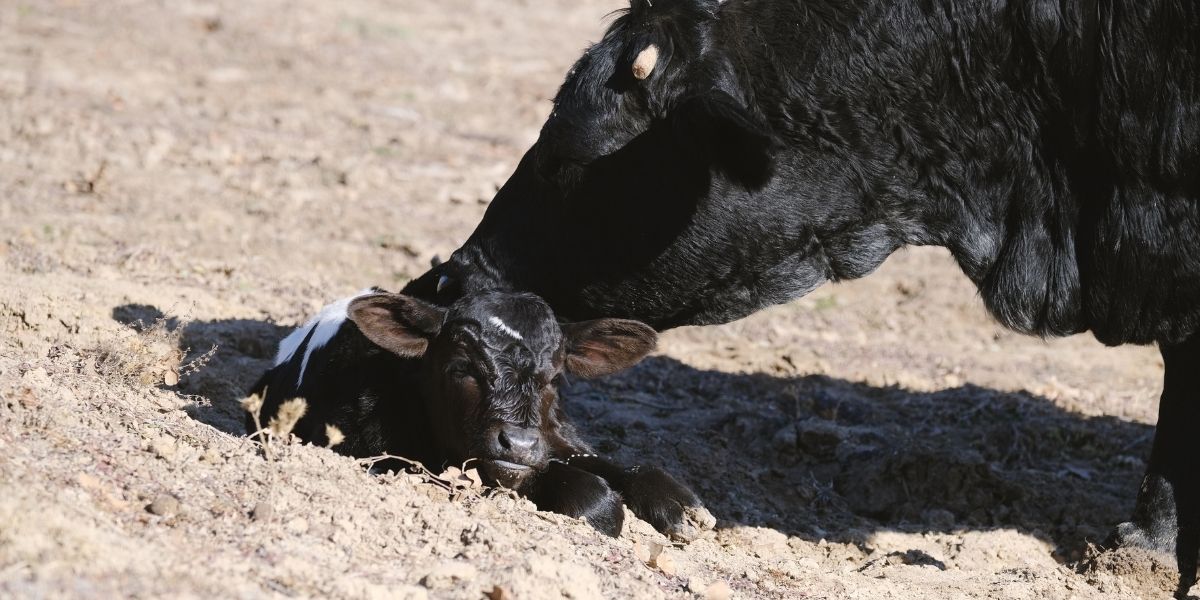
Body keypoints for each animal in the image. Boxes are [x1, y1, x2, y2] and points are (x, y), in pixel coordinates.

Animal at [249, 288, 714, 540]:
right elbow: (589, 494)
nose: (519, 443)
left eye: (553, 378)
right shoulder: (395, 460)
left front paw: (680, 506)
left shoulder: (553, 436)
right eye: (462, 367)